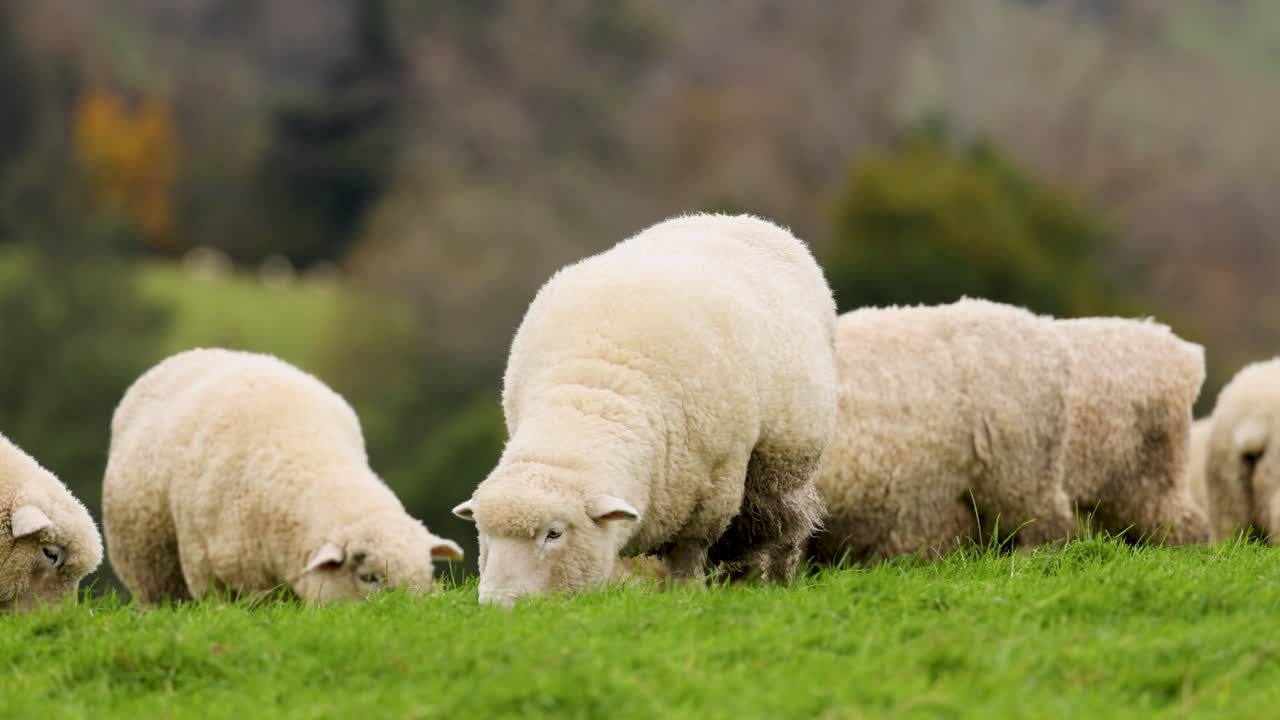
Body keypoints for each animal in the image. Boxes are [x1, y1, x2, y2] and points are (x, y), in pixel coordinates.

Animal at [452, 213, 838, 607]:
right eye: (485, 533)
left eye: (554, 533)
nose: (498, 604)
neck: (589, 394)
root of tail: (740, 218)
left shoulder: (712, 492)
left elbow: (689, 554)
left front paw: (686, 595)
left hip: (782, 465)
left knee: (781, 530)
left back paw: (776, 581)